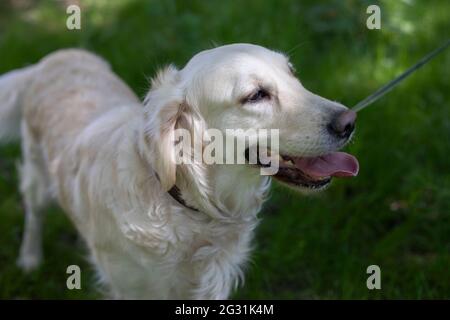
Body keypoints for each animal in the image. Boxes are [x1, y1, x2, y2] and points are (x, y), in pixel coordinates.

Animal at [0, 43, 358, 298]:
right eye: (256, 95)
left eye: (293, 75)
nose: (349, 121)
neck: (187, 206)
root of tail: (53, 58)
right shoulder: (131, 288)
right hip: (36, 174)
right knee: (34, 212)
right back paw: (29, 258)